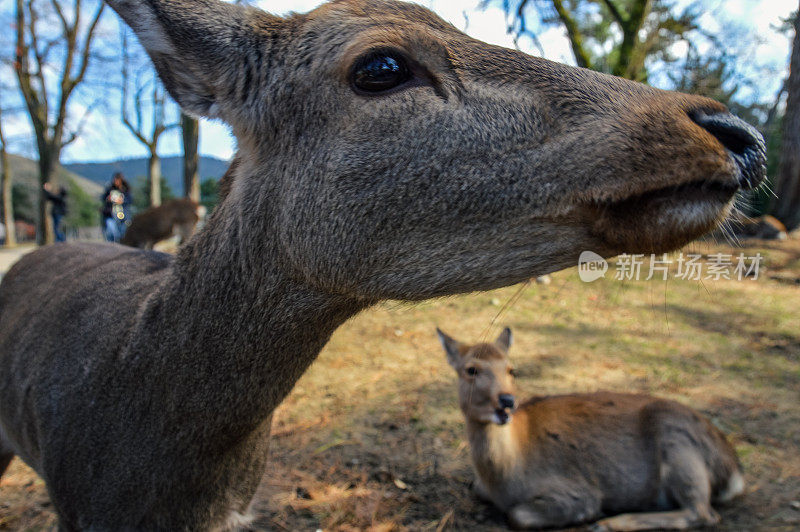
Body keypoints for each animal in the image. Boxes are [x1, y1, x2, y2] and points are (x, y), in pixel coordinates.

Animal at [438, 328, 744, 532]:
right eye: (471, 369)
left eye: (512, 369)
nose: (506, 401)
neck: (506, 476)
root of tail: (734, 470)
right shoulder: (480, 486)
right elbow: (476, 489)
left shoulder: (576, 491)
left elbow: (518, 515)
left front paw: (588, 517)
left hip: (679, 442)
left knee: (703, 512)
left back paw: (611, 523)